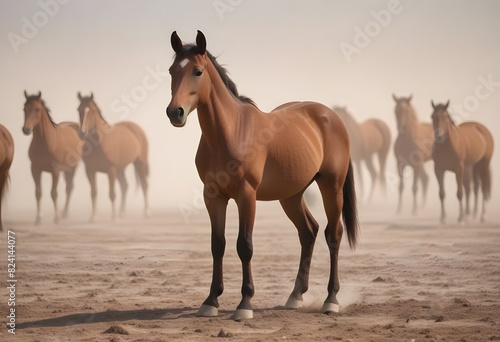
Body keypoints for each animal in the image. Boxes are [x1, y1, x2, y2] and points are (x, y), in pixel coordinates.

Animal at [22, 91, 82, 224]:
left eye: (37, 109)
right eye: (24, 109)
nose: (26, 129)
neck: (46, 142)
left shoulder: (55, 171)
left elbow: (54, 193)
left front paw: (56, 218)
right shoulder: (35, 169)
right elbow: (38, 192)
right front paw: (38, 218)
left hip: (73, 167)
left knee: (69, 188)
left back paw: (64, 214)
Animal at [76, 92, 150, 220]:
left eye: (91, 111)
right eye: (79, 110)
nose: (82, 133)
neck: (99, 144)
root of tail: (136, 128)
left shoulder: (110, 170)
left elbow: (112, 194)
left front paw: (113, 217)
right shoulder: (89, 170)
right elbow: (93, 193)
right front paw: (93, 217)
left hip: (139, 163)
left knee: (144, 185)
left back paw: (146, 212)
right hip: (120, 169)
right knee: (125, 186)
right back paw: (122, 213)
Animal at [166, 30, 358, 320]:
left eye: (197, 71)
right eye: (171, 71)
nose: (174, 112)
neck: (231, 132)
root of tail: (331, 116)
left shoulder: (246, 196)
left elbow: (244, 246)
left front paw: (245, 304)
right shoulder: (213, 196)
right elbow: (217, 244)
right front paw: (211, 301)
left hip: (331, 187)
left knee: (332, 234)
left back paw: (331, 300)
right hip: (291, 196)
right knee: (309, 232)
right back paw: (295, 296)